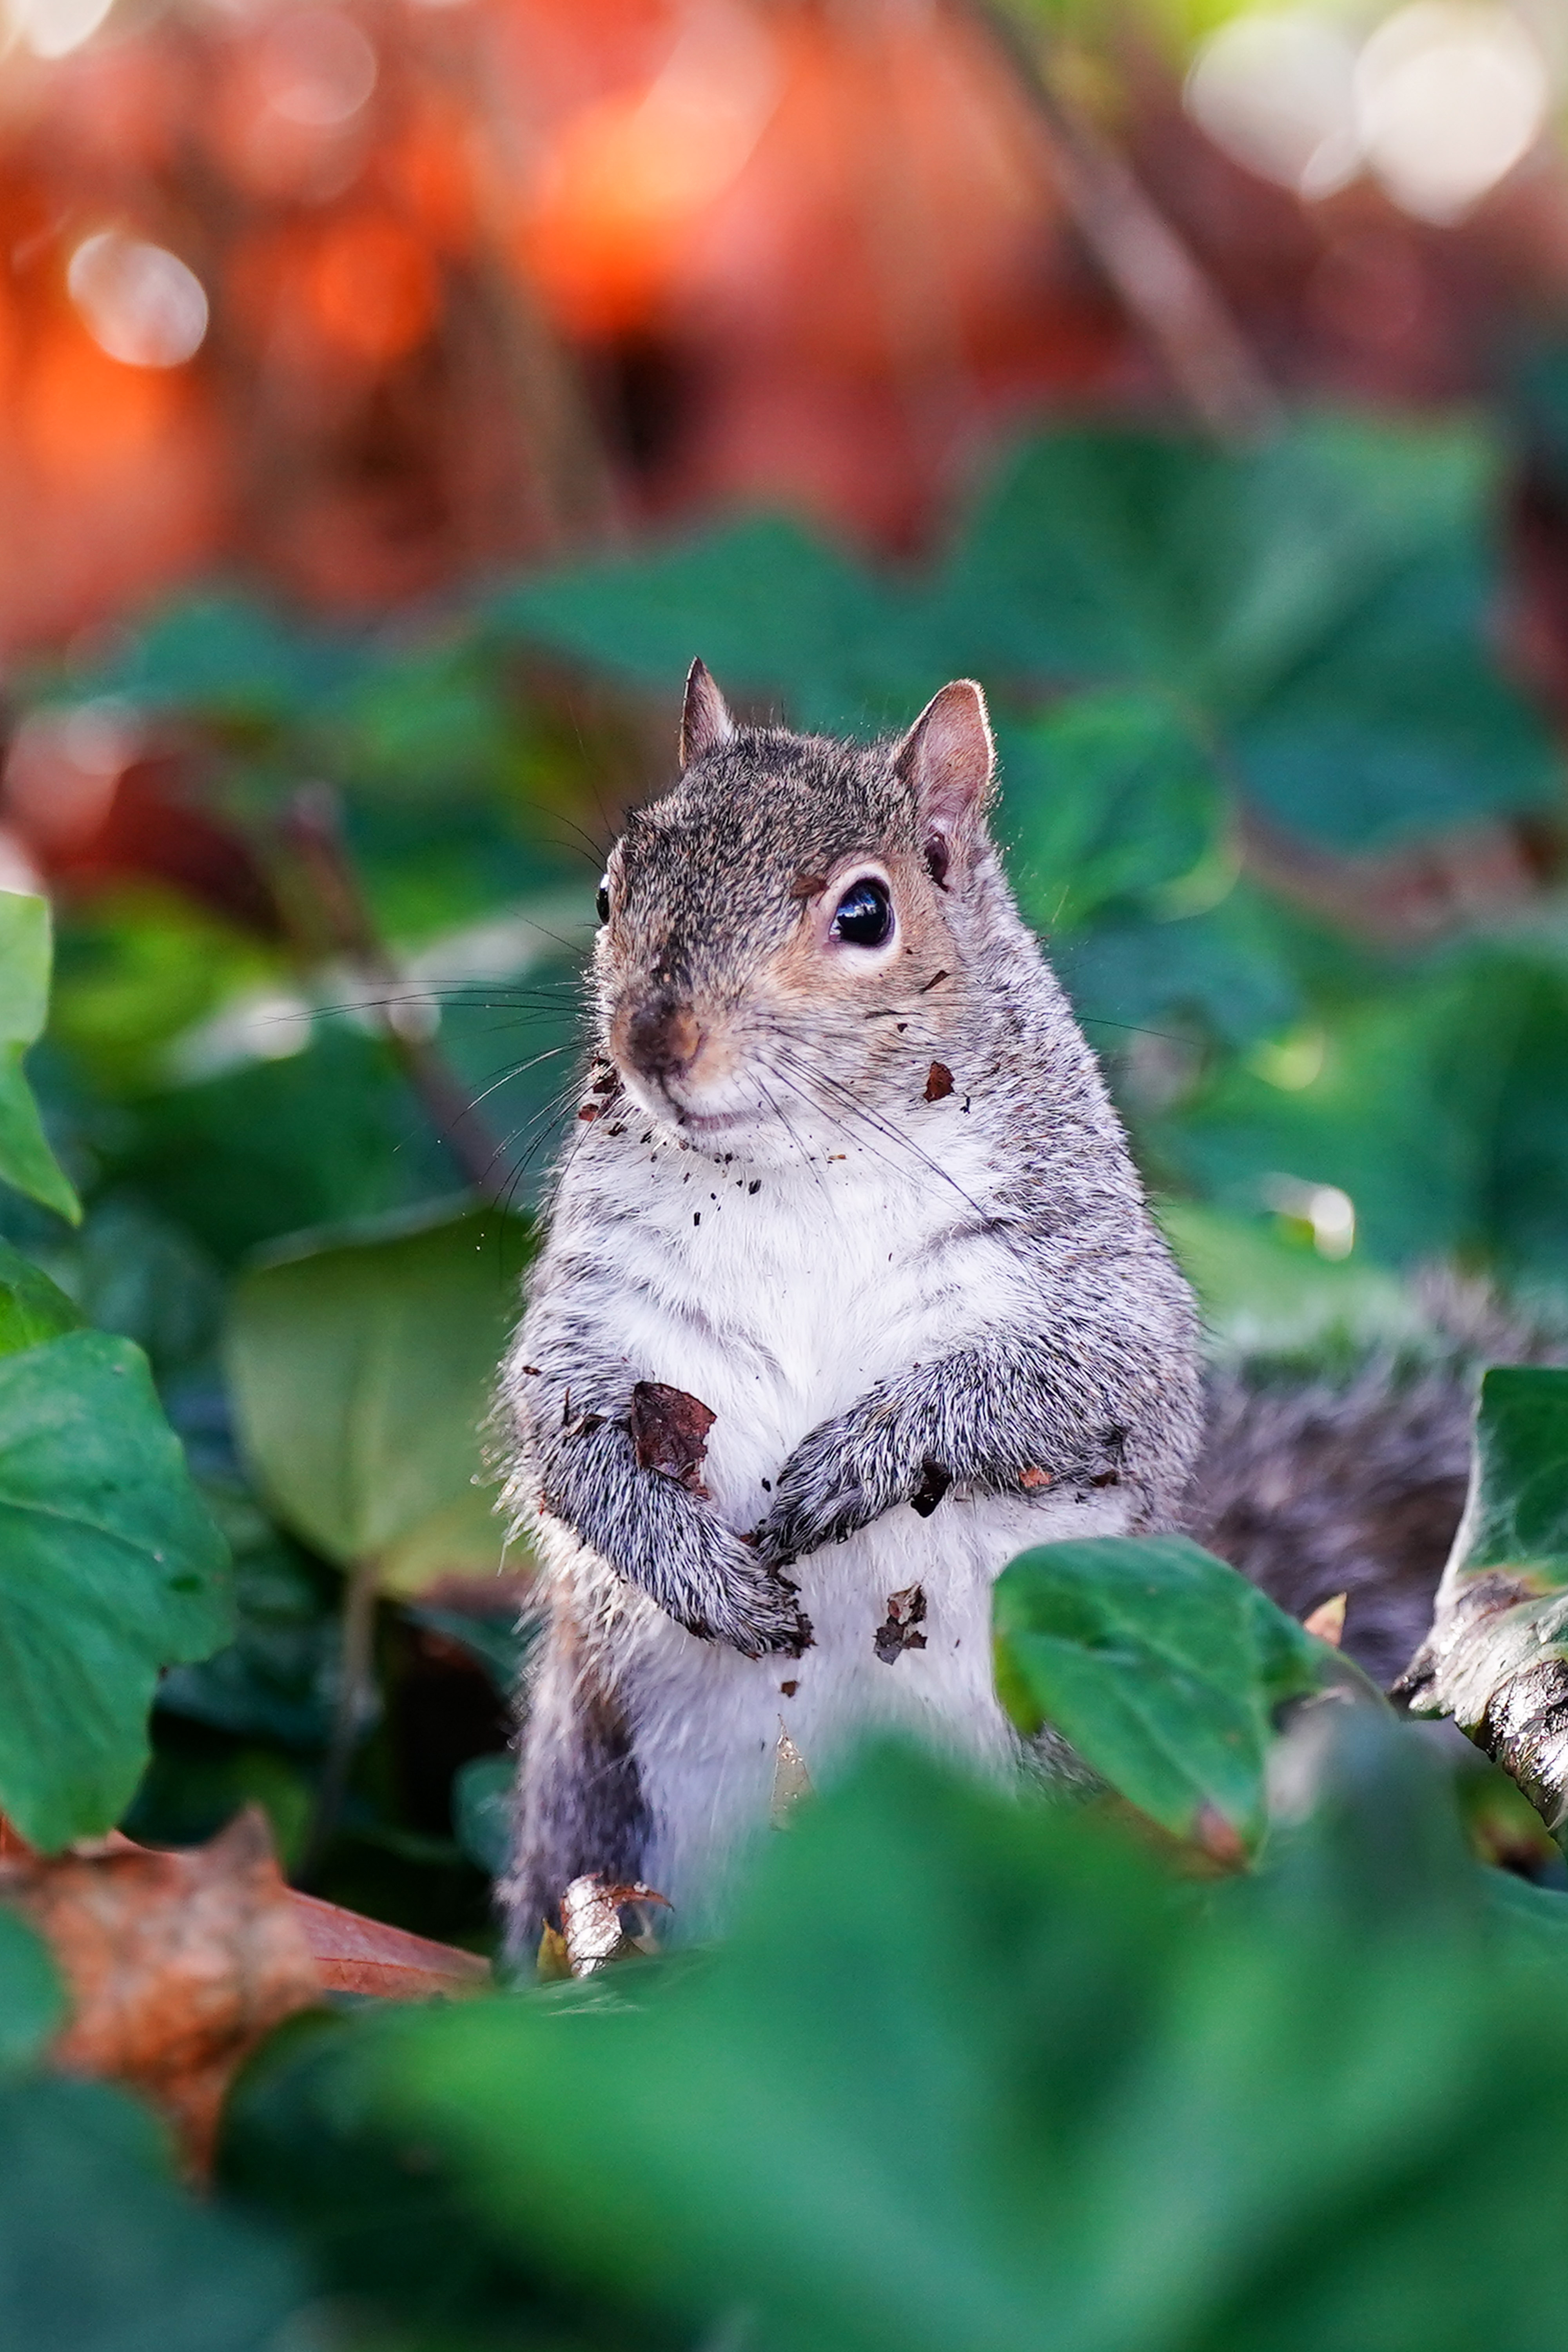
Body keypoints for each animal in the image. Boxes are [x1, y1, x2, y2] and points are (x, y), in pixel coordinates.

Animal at [498, 662, 1203, 1948]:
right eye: (609, 891)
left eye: (866, 913)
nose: (654, 1041)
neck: (797, 1167)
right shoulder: (600, 1311)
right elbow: (567, 1439)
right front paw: (699, 1570)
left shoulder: (1090, 1274)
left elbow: (1076, 1378)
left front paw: (858, 1461)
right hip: (591, 1799)